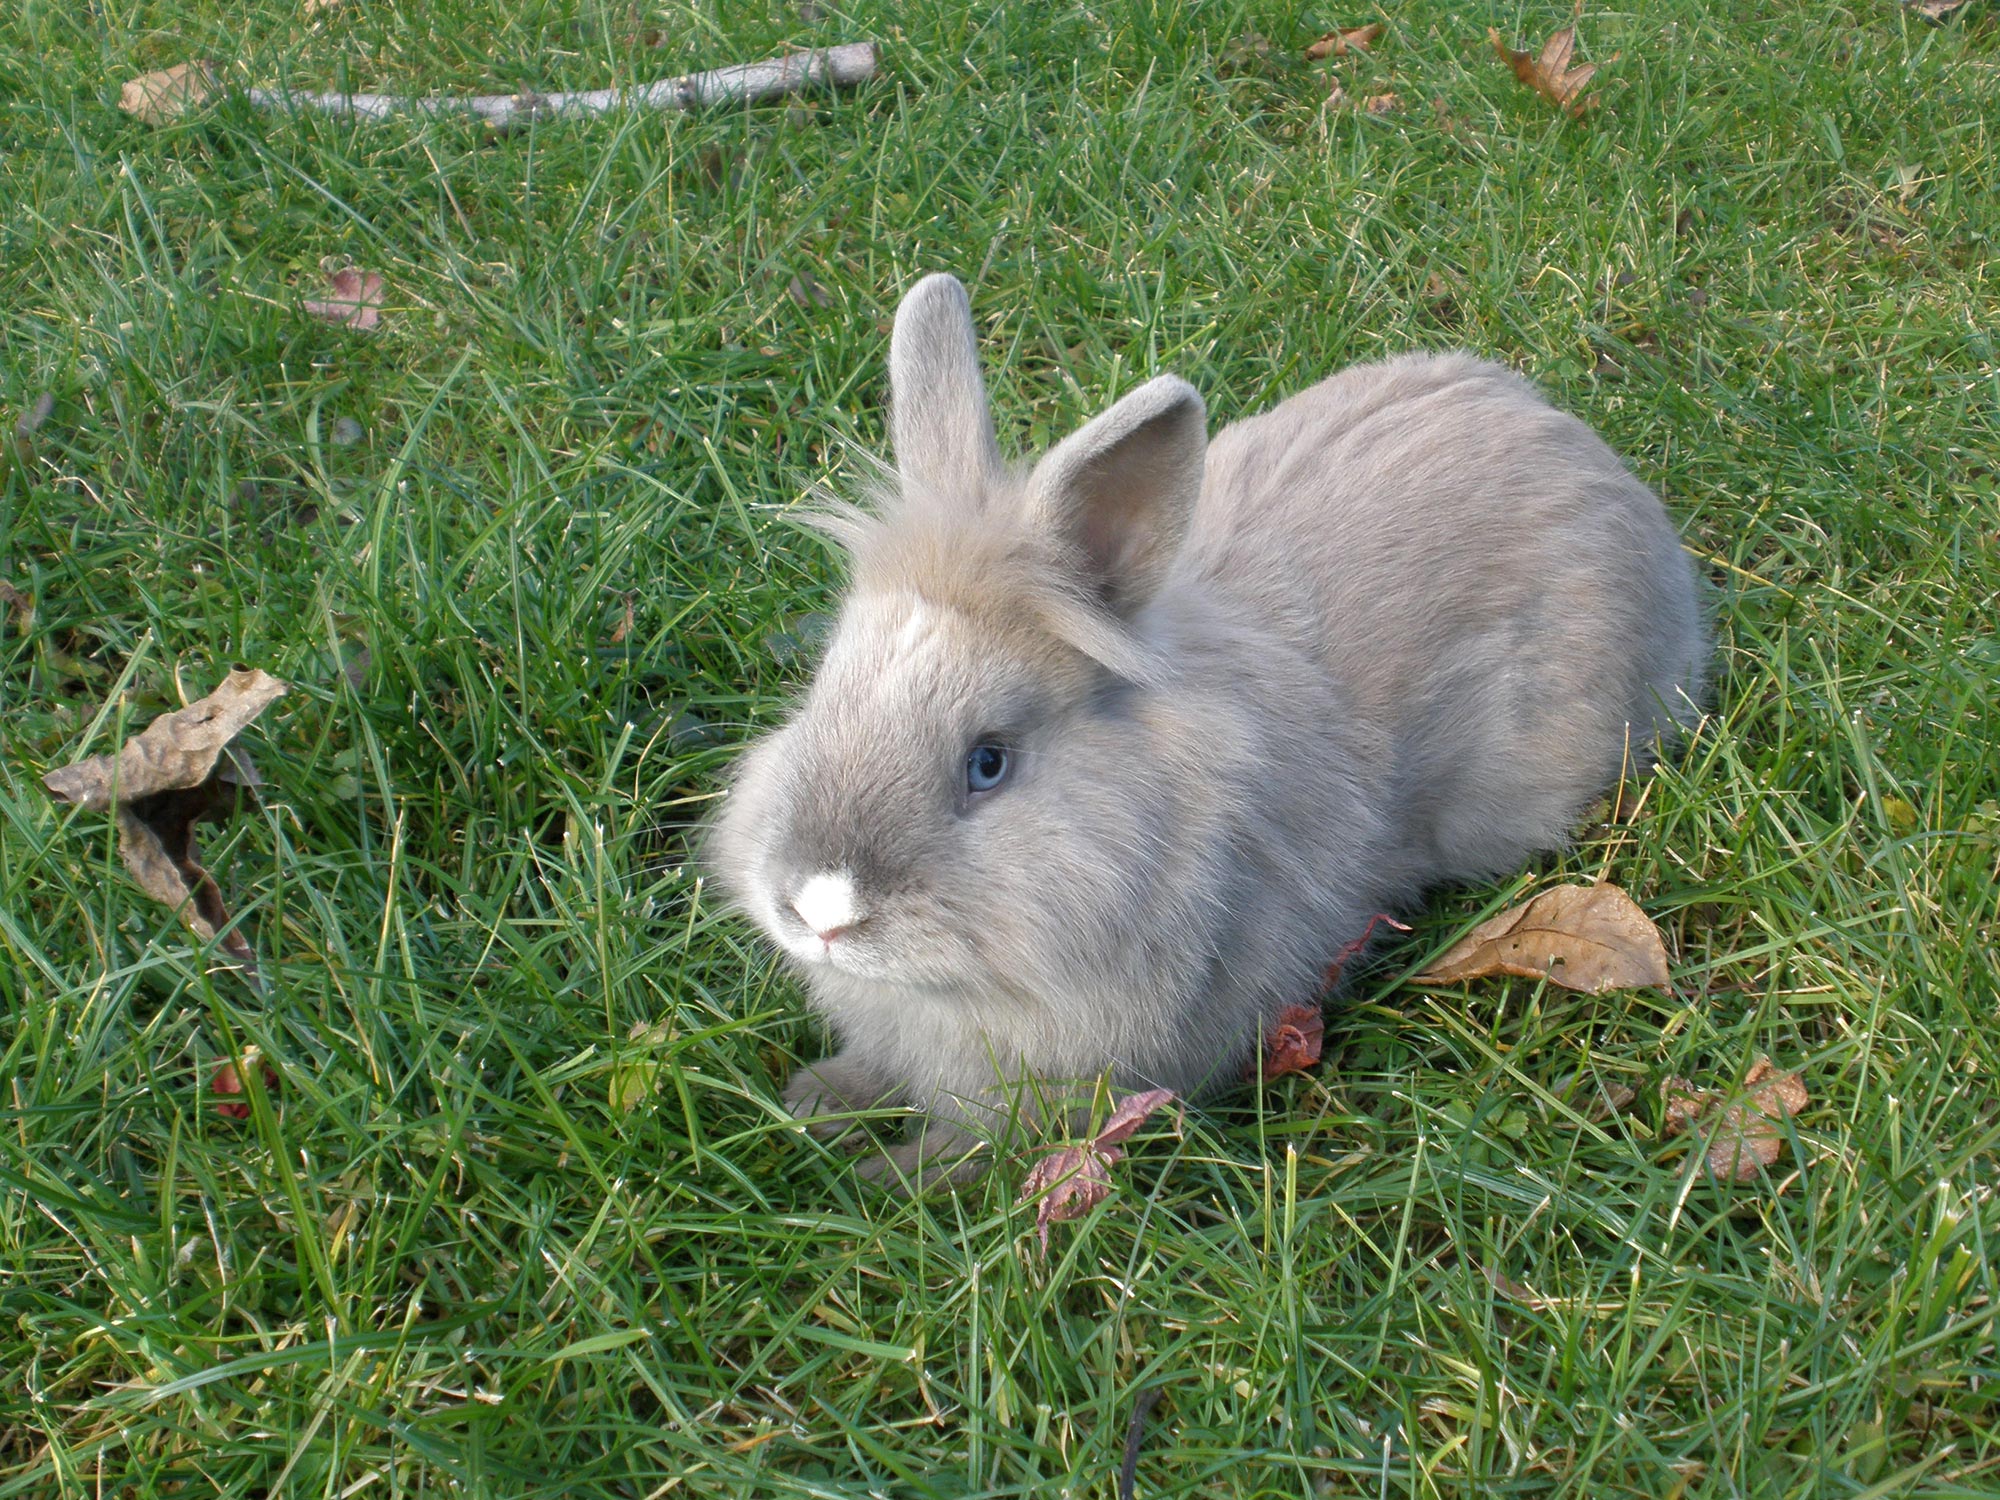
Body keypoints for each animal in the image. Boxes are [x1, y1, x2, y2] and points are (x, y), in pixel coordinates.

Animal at [704, 270, 1704, 1184]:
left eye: (989, 763)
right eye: (823, 693)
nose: (820, 909)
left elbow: (978, 1144)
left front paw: (894, 1176)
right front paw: (816, 1102)